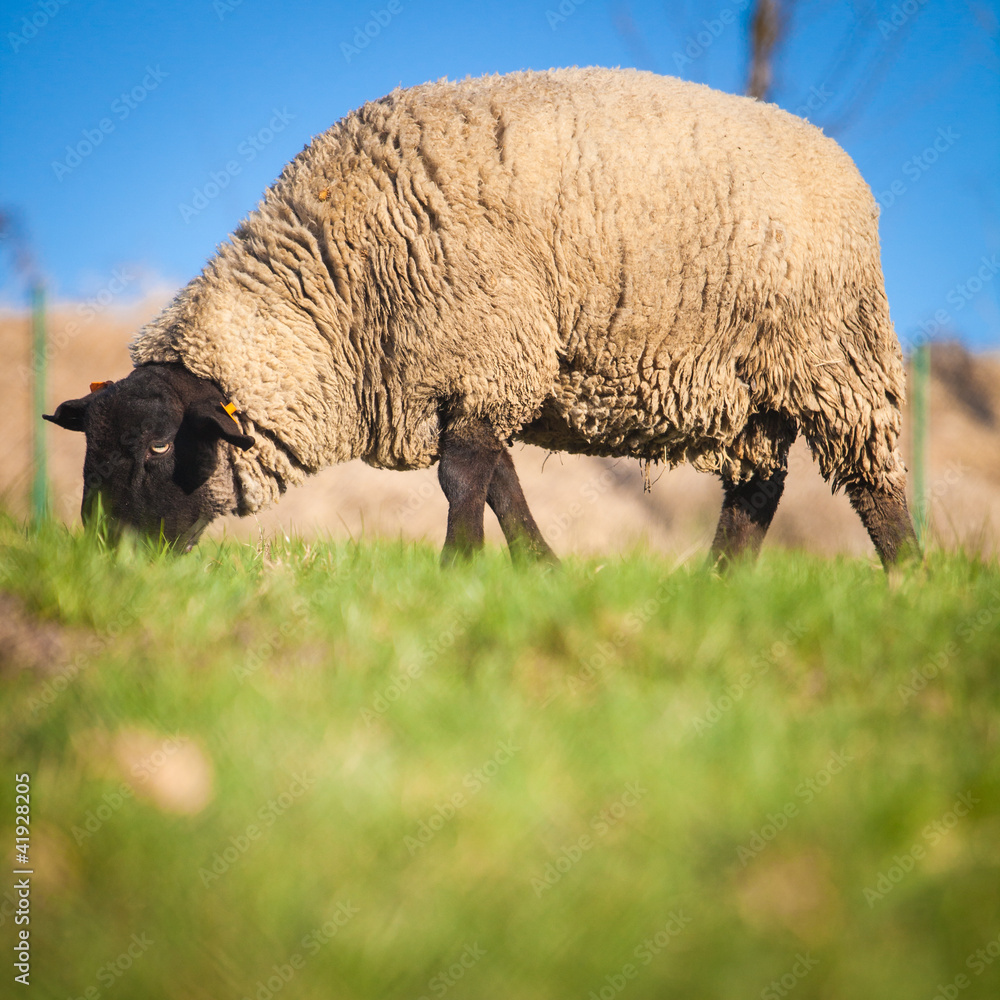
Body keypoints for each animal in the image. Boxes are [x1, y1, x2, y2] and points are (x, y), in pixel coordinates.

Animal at [45, 66, 919, 565]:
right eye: (90, 451)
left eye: (162, 446)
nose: (109, 562)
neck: (332, 299)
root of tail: (832, 153)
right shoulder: (470, 370)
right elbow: (498, 478)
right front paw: (537, 571)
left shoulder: (479, 350)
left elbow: (463, 476)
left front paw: (459, 572)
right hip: (755, 394)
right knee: (756, 494)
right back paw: (718, 591)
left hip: (834, 359)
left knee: (873, 482)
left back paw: (908, 577)